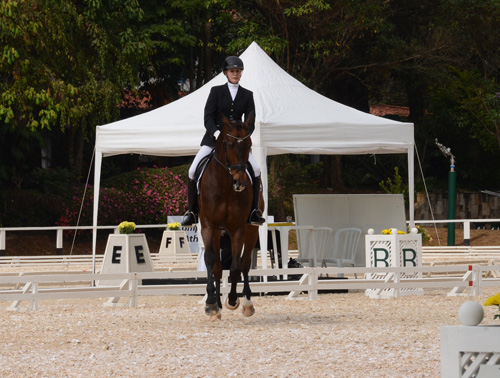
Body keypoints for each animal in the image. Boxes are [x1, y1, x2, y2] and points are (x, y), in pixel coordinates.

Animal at [197, 111, 264, 318]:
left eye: (249, 144)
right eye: (228, 144)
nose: (240, 182)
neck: (225, 185)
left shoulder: (238, 229)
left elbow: (235, 267)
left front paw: (233, 299)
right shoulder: (208, 226)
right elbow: (211, 261)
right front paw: (211, 303)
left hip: (252, 230)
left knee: (244, 263)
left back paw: (247, 302)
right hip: (218, 231)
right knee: (219, 268)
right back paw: (217, 305)